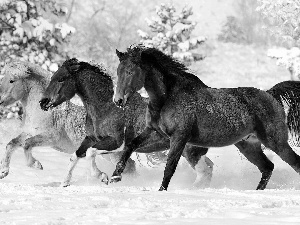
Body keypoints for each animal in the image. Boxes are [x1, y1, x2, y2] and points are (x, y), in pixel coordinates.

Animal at [39, 58, 213, 188]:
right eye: (53, 77)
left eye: (61, 79)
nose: (43, 102)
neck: (105, 108)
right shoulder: (91, 138)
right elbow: (75, 156)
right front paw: (65, 182)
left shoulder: (116, 142)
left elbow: (90, 153)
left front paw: (103, 176)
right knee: (208, 167)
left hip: (190, 151)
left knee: (205, 171)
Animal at [111, 45, 300, 192]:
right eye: (118, 71)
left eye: (130, 71)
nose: (118, 100)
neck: (167, 97)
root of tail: (270, 94)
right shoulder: (156, 133)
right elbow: (130, 145)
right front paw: (115, 177)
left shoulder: (179, 138)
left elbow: (169, 167)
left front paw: (161, 191)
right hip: (248, 145)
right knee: (267, 167)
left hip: (276, 142)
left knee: (294, 163)